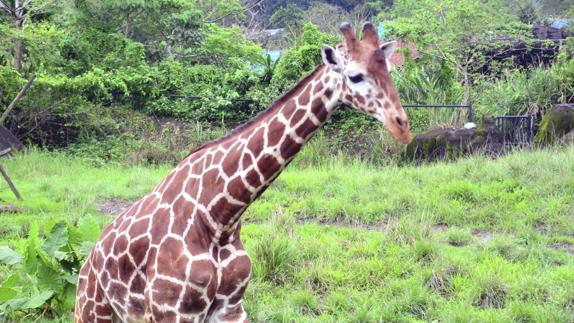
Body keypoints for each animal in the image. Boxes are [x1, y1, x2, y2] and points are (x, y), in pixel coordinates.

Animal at [74, 22, 412, 323]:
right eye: (355, 76)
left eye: (389, 70)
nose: (402, 127)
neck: (220, 217)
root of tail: (88, 259)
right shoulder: (172, 311)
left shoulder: (231, 308)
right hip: (92, 310)